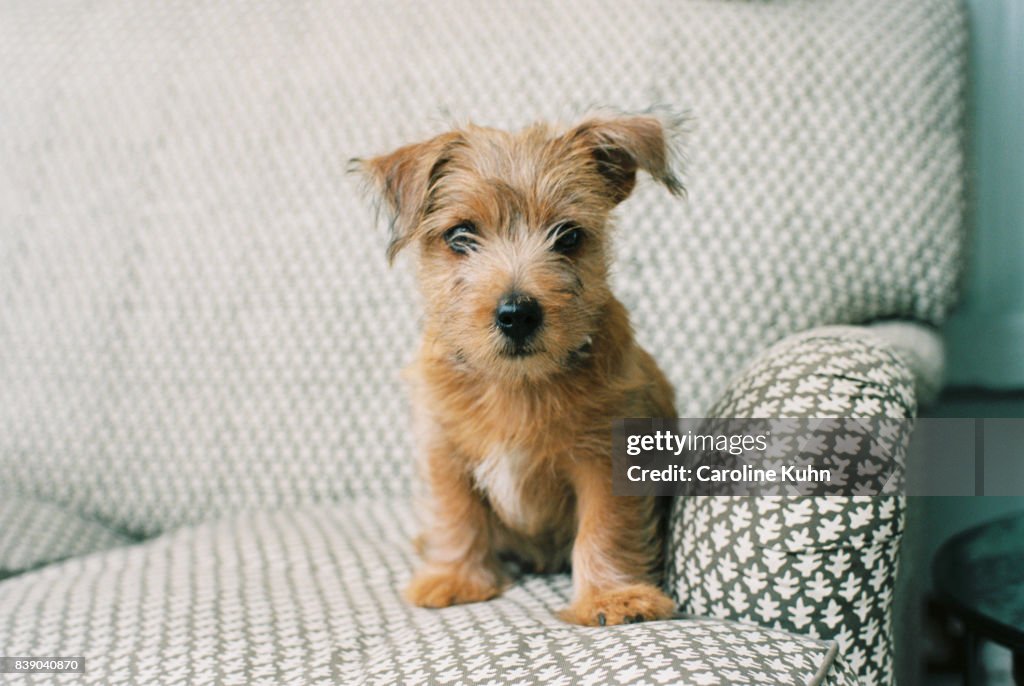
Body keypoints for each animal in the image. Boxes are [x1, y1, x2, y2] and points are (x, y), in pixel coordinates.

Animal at [356, 109, 684, 630]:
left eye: (569, 236)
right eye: (460, 236)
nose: (517, 314)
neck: (514, 385)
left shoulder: (606, 458)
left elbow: (605, 525)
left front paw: (612, 597)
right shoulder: (443, 448)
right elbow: (455, 512)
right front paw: (454, 578)